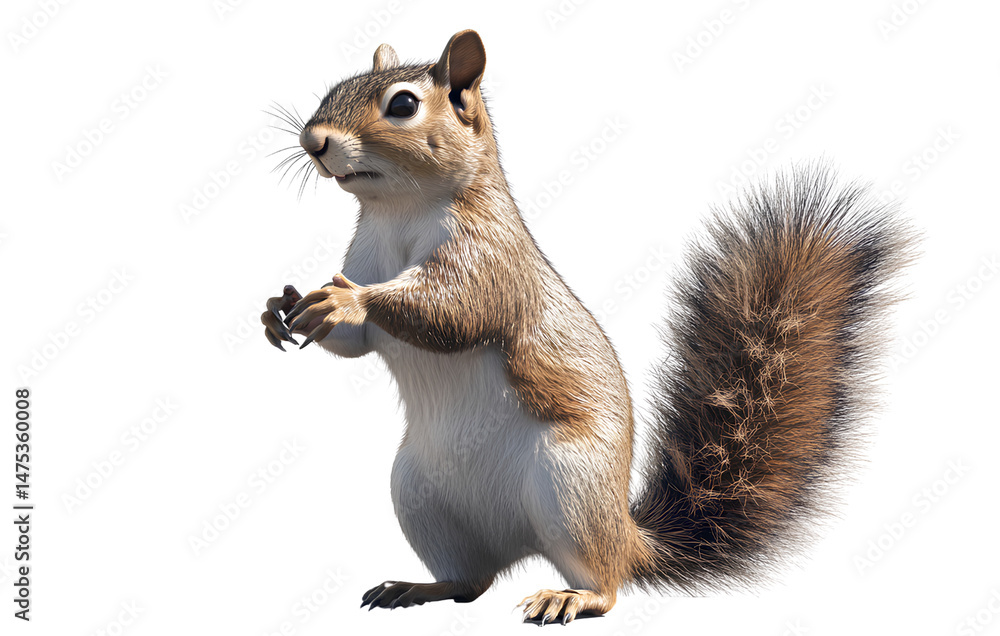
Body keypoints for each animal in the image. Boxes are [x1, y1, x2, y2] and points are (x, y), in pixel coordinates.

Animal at [260, 29, 915, 625]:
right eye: (336, 87)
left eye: (402, 105)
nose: (312, 141)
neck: (399, 210)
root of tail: (623, 534)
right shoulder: (368, 253)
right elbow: (355, 346)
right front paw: (280, 306)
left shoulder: (492, 259)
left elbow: (454, 311)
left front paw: (349, 302)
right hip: (421, 496)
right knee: (469, 581)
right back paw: (417, 587)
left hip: (569, 486)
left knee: (604, 582)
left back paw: (569, 596)